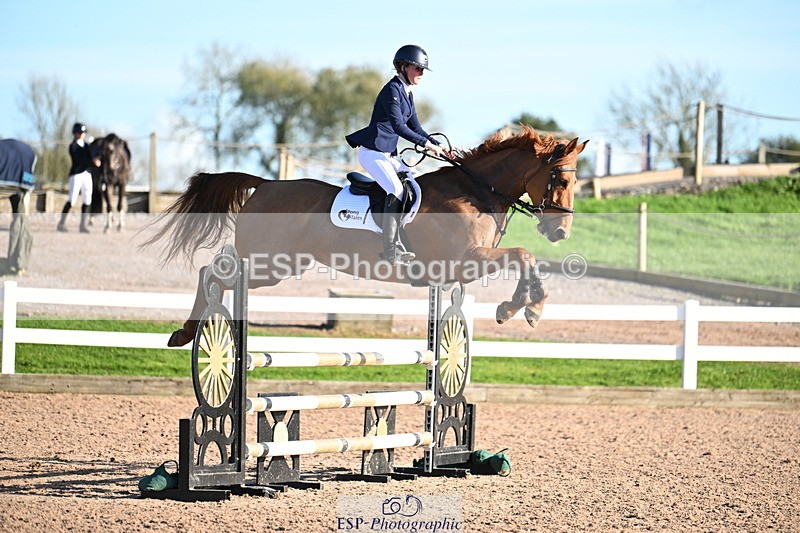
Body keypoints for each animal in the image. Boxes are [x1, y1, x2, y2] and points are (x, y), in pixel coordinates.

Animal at [143, 126, 588, 347]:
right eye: (562, 179)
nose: (560, 232)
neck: (475, 192)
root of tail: (266, 184)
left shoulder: (463, 269)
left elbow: (525, 259)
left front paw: (527, 306)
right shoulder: (463, 261)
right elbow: (524, 254)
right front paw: (519, 308)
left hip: (276, 266)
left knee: (217, 272)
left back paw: (186, 332)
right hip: (268, 265)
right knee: (213, 273)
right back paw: (185, 332)